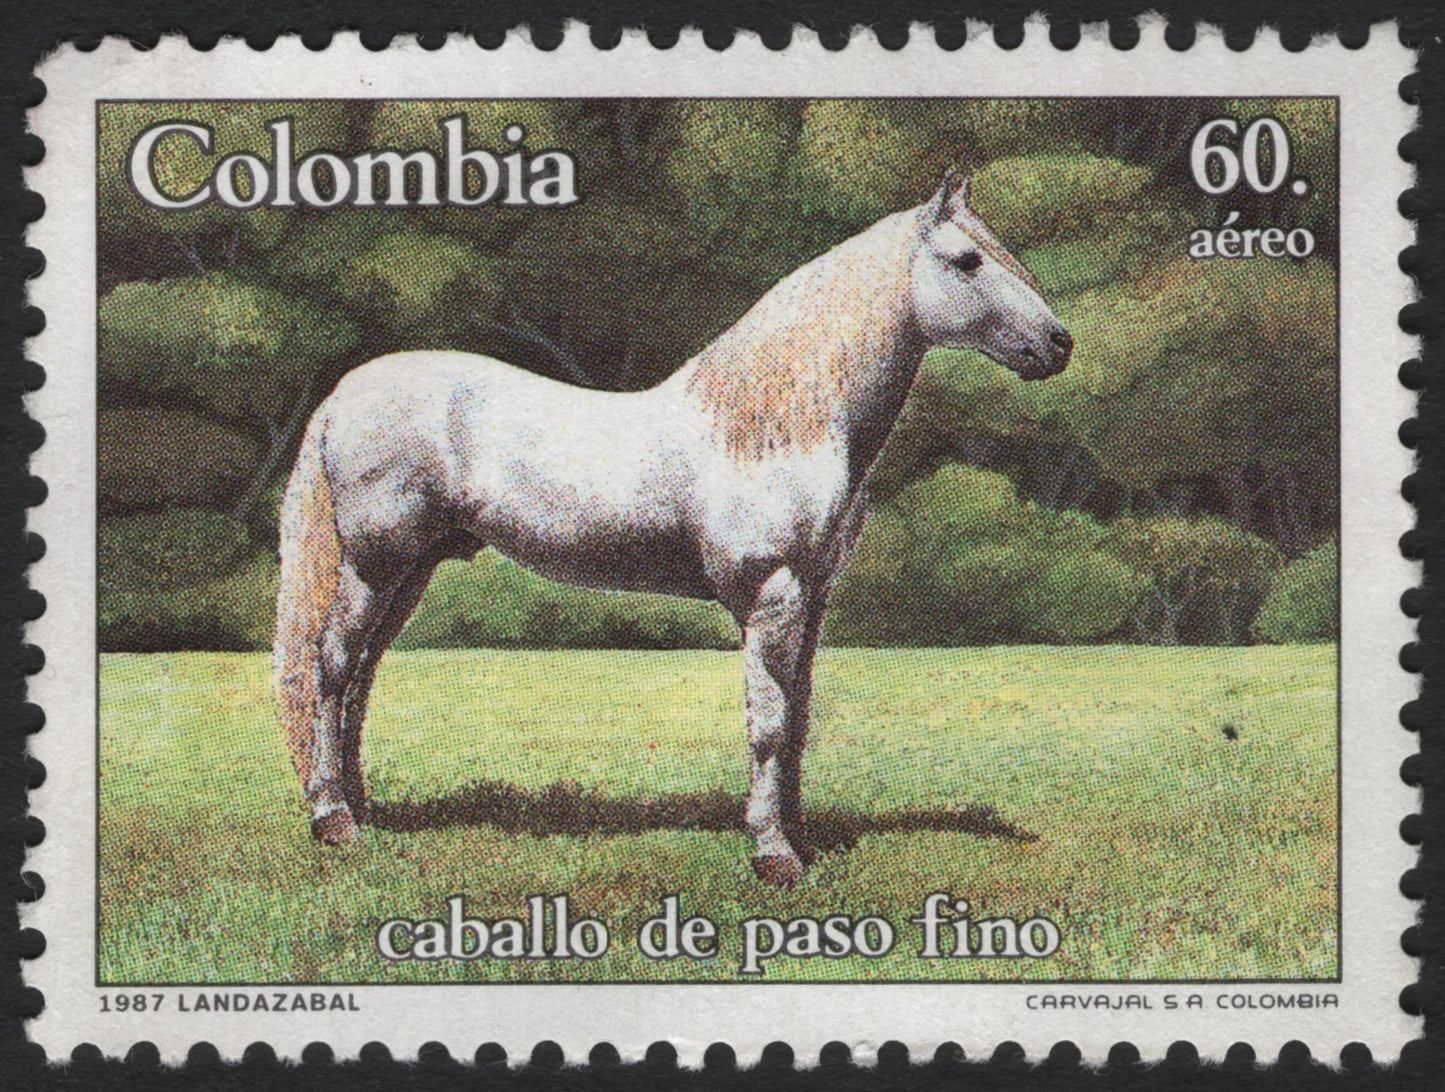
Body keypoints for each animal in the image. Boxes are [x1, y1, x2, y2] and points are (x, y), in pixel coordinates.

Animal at [273, 170, 1072, 886]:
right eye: (966, 261)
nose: (1058, 344)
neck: (777, 427)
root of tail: (342, 393)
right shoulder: (770, 595)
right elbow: (767, 724)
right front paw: (773, 857)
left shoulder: (811, 599)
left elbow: (799, 722)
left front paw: (800, 836)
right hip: (374, 565)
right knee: (331, 667)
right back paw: (333, 820)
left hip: (413, 570)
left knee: (361, 678)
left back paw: (365, 812)